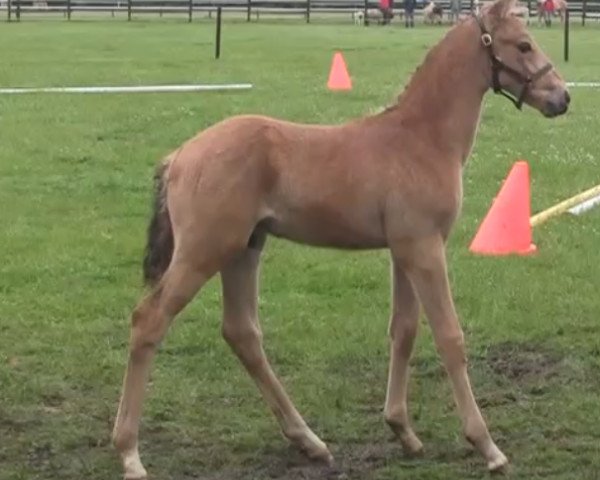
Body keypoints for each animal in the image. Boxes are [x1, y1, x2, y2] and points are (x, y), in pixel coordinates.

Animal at [111, 1, 568, 478]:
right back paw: (130, 453)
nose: (562, 97)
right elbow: (449, 336)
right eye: (523, 45)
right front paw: (487, 446)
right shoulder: (424, 248)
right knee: (148, 321)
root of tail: (179, 156)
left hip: (244, 249)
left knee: (241, 332)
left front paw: (402, 430)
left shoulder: (403, 250)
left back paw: (309, 441)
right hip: (203, 252)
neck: (421, 139)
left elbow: (404, 330)